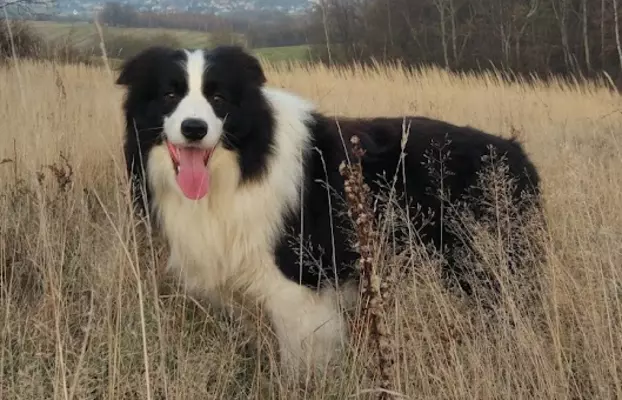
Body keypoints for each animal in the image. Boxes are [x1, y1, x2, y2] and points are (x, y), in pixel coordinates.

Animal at [116, 46, 540, 372]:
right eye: (169, 95)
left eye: (218, 98)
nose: (194, 129)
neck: (245, 162)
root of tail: (516, 153)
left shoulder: (298, 287)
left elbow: (301, 362)